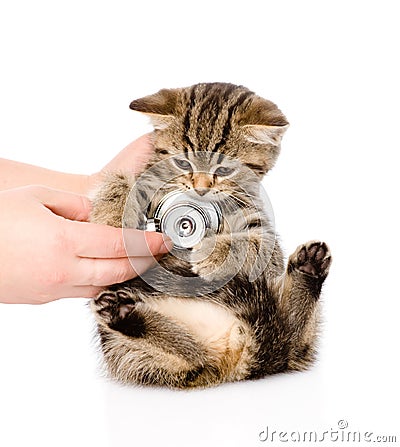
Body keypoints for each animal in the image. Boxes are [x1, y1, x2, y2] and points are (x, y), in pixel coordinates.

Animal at [90, 83, 332, 388]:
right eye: (183, 163)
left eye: (224, 169)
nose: (201, 188)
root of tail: (233, 351)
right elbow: (125, 182)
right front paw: (112, 211)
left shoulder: (266, 242)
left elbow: (256, 245)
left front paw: (213, 251)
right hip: (131, 352)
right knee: (194, 356)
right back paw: (122, 313)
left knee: (290, 340)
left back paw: (309, 268)